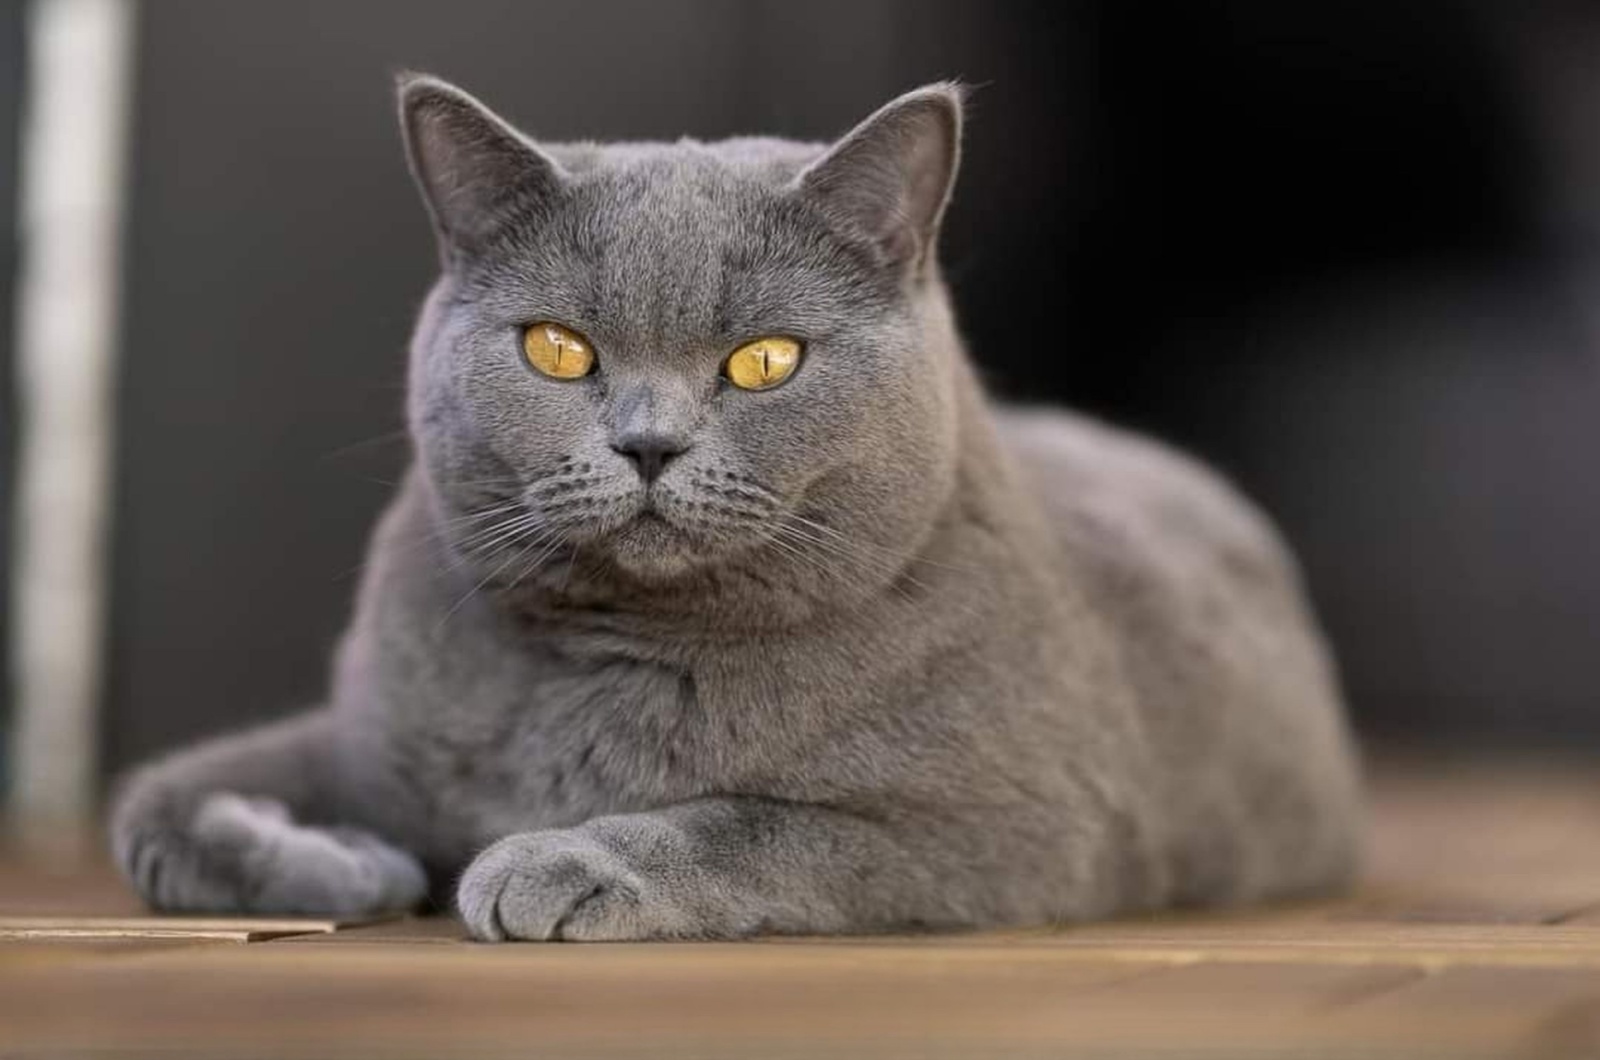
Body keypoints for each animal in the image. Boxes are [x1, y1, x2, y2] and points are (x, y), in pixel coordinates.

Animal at [109, 72, 1363, 941]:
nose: (648, 443)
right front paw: (352, 862)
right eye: (557, 349)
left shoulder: (1011, 827)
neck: (612, 659)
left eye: (765, 361)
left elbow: (756, 824)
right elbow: (156, 799)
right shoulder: (368, 727)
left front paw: (547, 862)